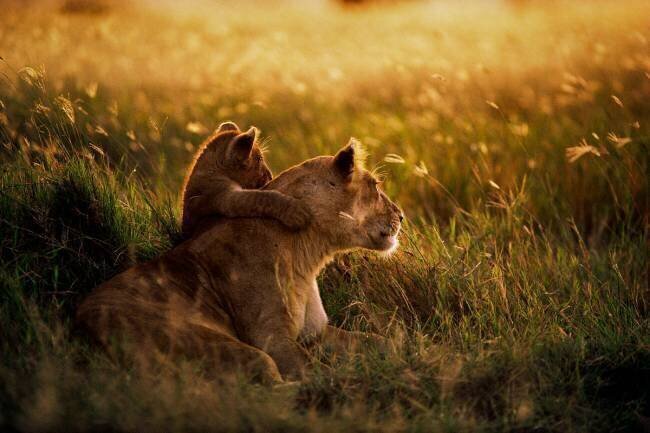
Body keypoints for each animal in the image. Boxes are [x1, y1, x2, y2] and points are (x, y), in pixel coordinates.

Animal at [76, 138, 403, 382]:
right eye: (375, 185)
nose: (401, 215)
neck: (308, 253)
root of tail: (78, 328)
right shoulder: (272, 338)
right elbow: (317, 372)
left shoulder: (316, 332)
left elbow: (380, 340)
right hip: (222, 345)